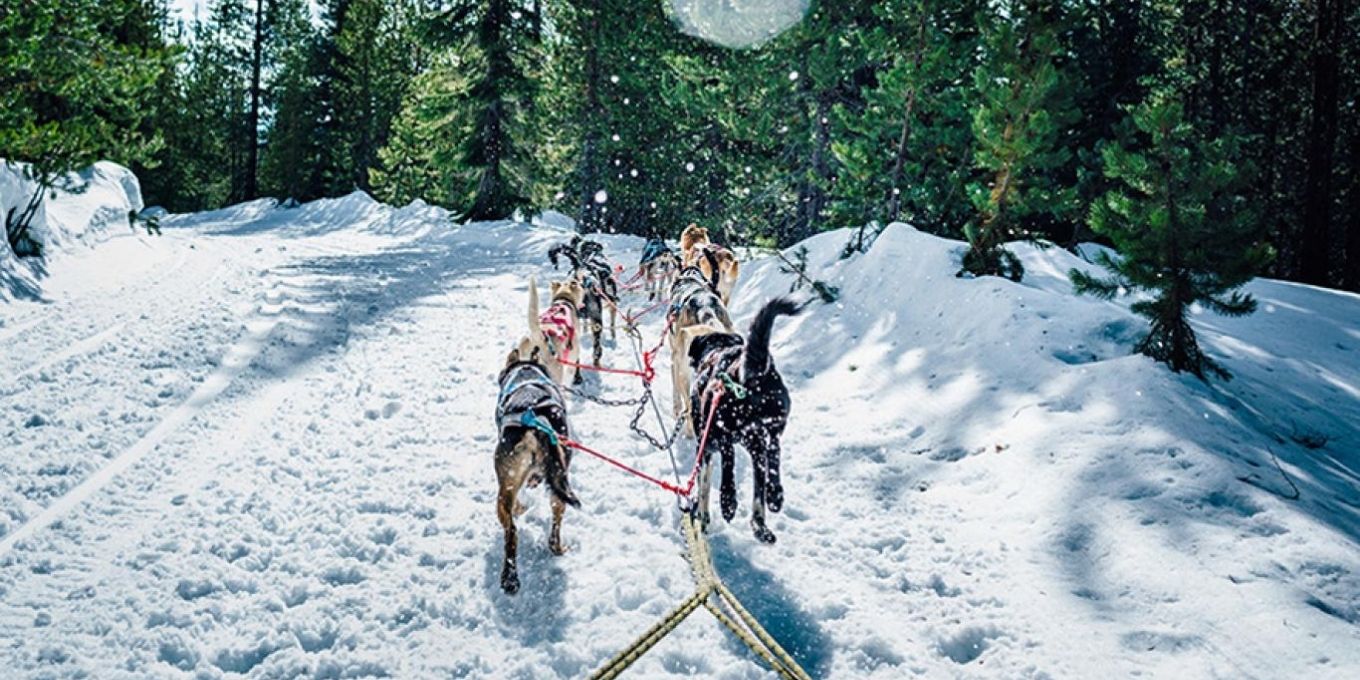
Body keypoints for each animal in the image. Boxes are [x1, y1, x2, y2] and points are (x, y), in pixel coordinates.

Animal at [685, 297, 799, 541]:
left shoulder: (705, 445)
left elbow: (704, 483)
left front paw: (705, 512)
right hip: (767, 432)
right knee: (771, 457)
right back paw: (770, 502)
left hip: (719, 427)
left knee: (729, 457)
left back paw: (729, 500)